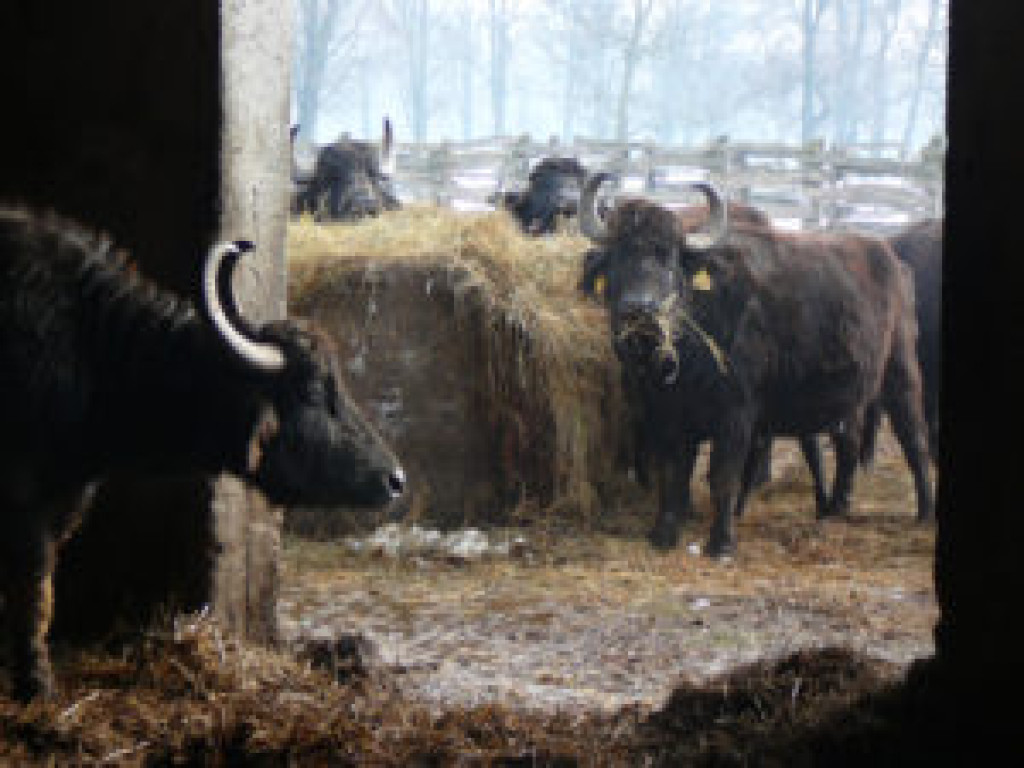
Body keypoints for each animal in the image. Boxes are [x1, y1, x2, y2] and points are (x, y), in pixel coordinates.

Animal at [1, 207, 407, 700]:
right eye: (312, 390)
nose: (395, 480)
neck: (94, 351)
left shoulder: (63, 503)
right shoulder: (24, 504)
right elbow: (33, 592)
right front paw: (35, 685)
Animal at [581, 174, 933, 561]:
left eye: (668, 257)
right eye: (619, 255)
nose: (639, 309)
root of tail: (894, 260)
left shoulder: (737, 413)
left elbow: (723, 477)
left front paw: (721, 543)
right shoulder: (665, 414)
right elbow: (672, 474)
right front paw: (664, 533)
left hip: (901, 373)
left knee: (914, 442)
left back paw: (924, 513)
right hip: (849, 395)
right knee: (849, 444)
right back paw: (835, 509)